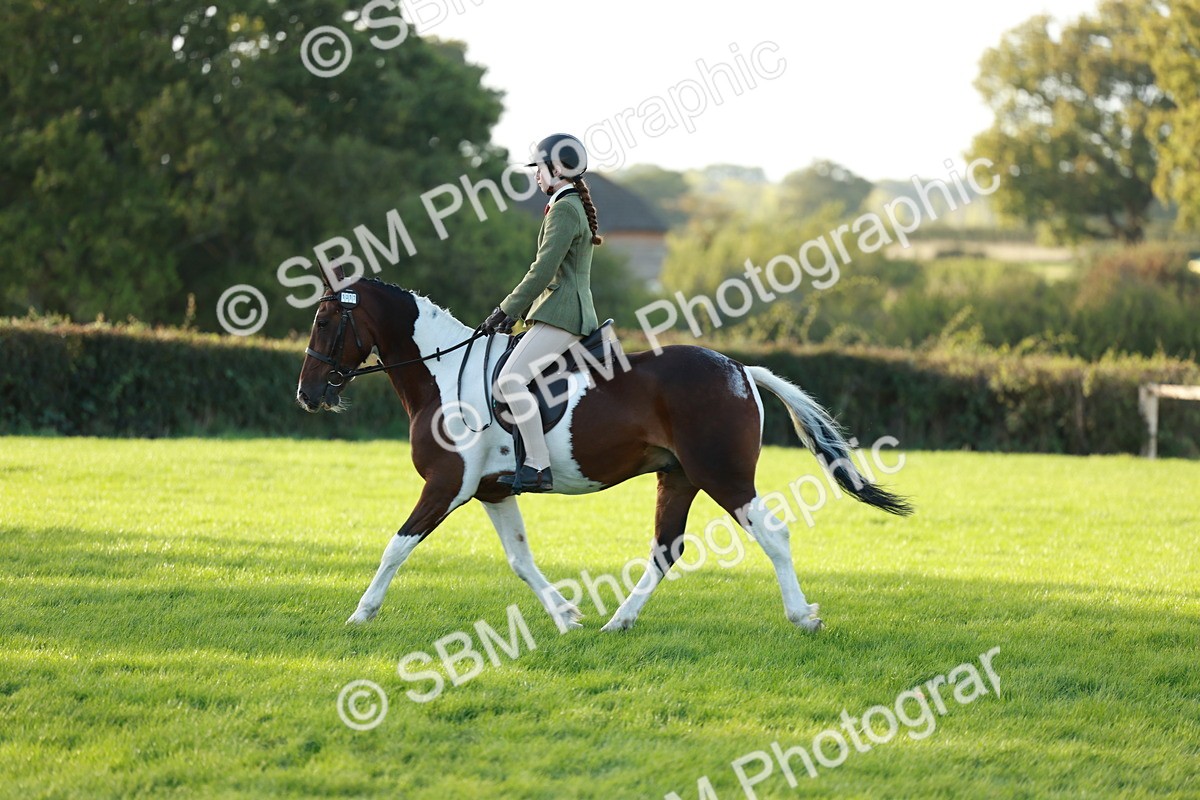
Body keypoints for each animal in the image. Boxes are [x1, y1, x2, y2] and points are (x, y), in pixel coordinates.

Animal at [296, 278, 912, 633]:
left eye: (325, 322)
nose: (307, 394)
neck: (444, 374)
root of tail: (739, 369)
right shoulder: (491, 491)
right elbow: (520, 560)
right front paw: (566, 616)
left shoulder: (447, 485)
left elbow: (396, 547)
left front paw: (360, 613)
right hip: (678, 477)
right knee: (666, 549)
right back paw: (618, 621)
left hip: (722, 475)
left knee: (772, 535)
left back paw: (802, 616)